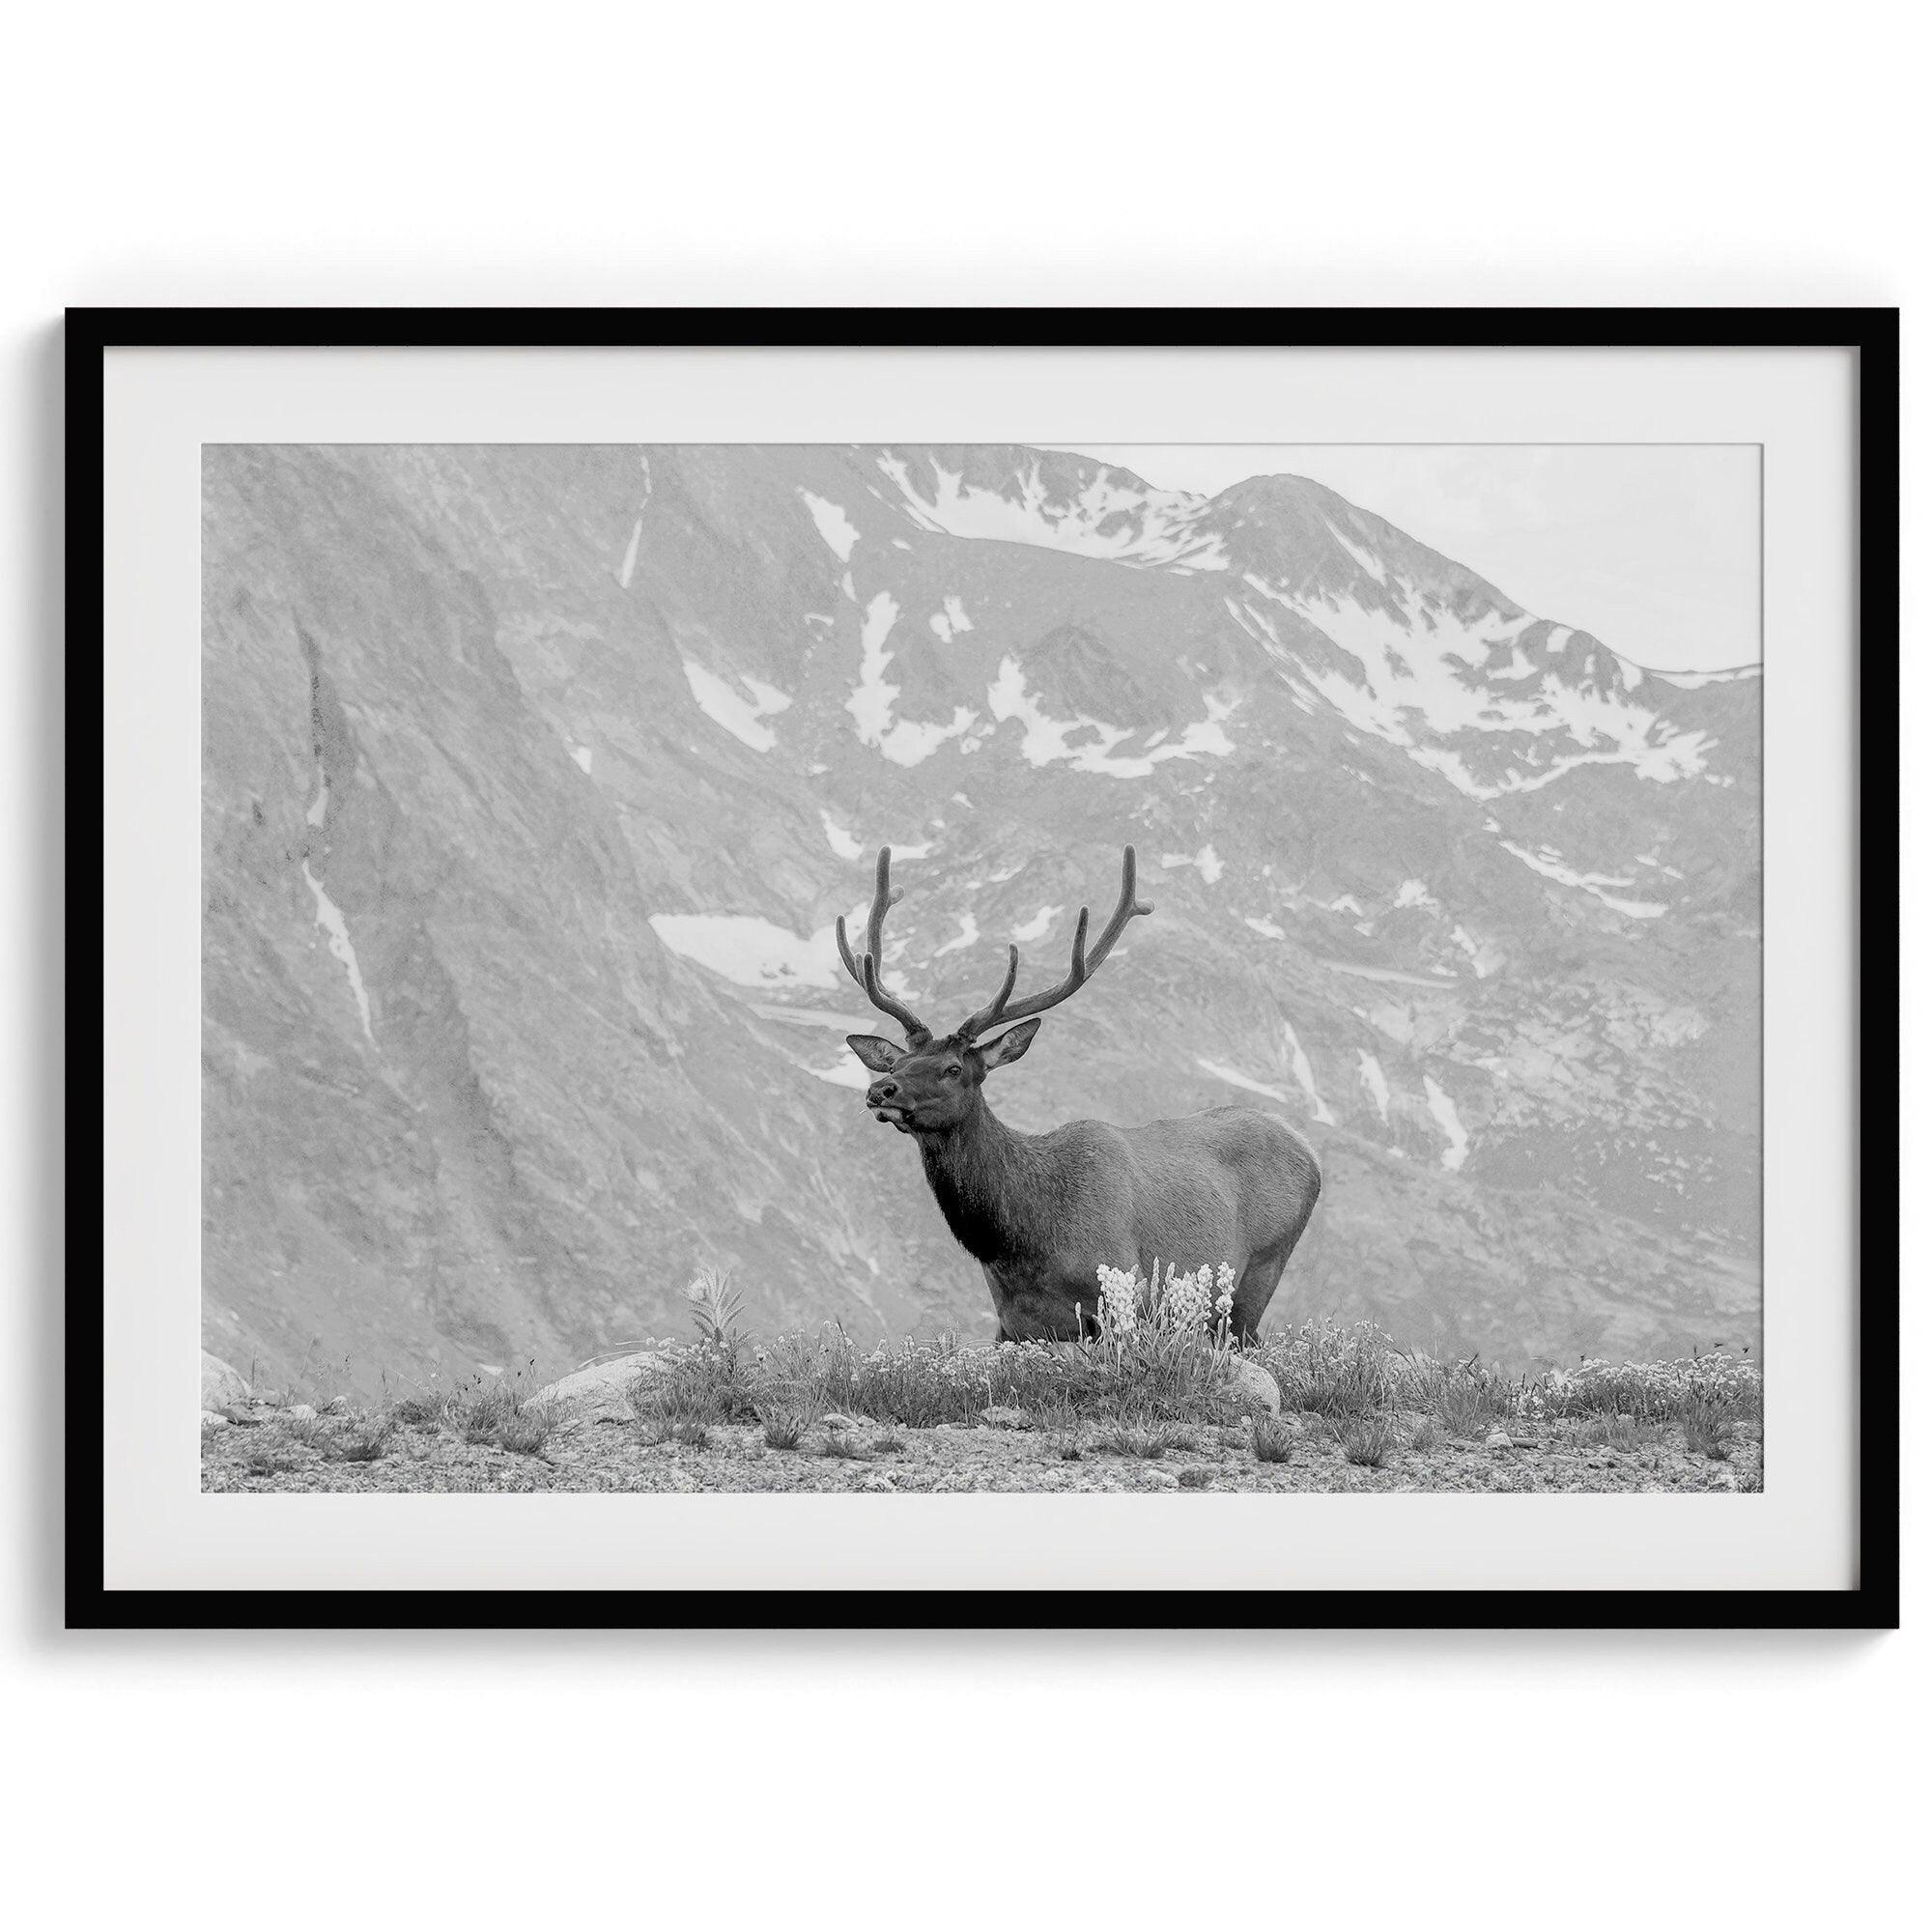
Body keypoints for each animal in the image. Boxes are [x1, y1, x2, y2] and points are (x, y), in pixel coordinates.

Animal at [838, 846, 1321, 1345]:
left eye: (953, 1069)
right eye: (895, 1065)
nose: (880, 1089)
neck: (1020, 1247)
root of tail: (1306, 1147)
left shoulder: (1124, 1294)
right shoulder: (1012, 1325)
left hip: (1262, 1269)